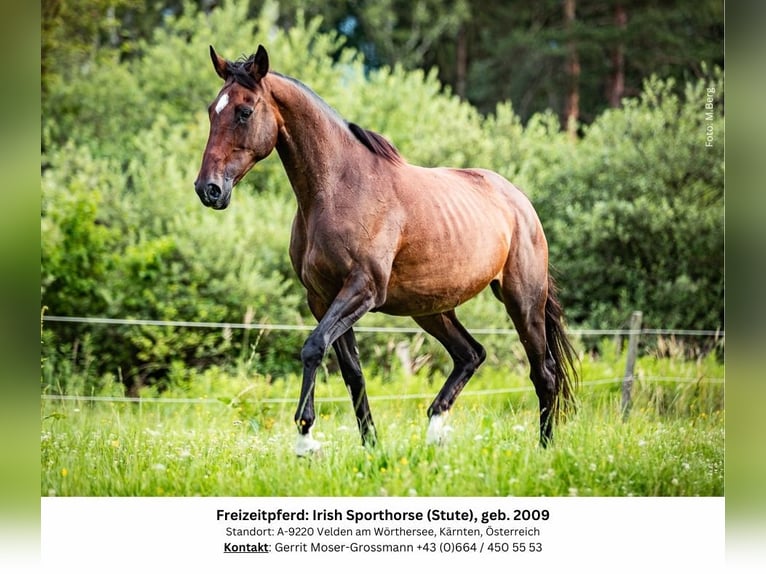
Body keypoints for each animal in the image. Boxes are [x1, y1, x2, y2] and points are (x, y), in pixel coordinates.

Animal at [195, 45, 580, 456]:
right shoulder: (322, 297)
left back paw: (544, 449)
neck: (338, 189)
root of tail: (520, 201)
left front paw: (305, 437)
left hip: (522, 301)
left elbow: (313, 347)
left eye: (244, 111)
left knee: (543, 373)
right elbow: (352, 372)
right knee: (471, 354)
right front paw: (370, 445)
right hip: (431, 309)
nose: (208, 189)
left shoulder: (362, 289)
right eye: (212, 110)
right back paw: (435, 434)